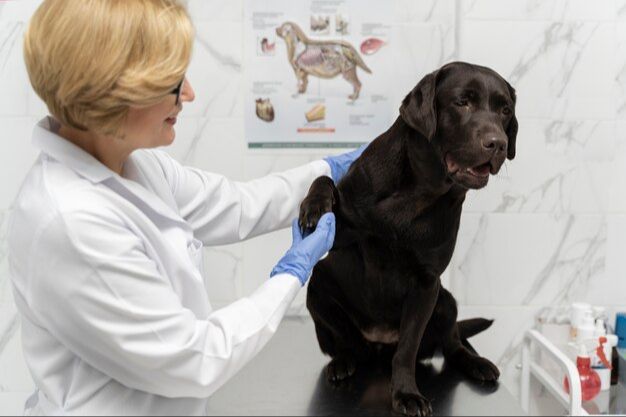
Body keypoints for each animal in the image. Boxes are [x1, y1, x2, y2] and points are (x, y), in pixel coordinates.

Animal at [298, 61, 516, 416]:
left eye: (505, 110)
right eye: (462, 102)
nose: (497, 143)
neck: (420, 192)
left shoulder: (427, 283)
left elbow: (408, 348)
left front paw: (405, 393)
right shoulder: (344, 231)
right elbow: (324, 179)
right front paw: (315, 205)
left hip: (445, 301)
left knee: (453, 342)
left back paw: (476, 363)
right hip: (318, 287)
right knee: (348, 344)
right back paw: (344, 361)